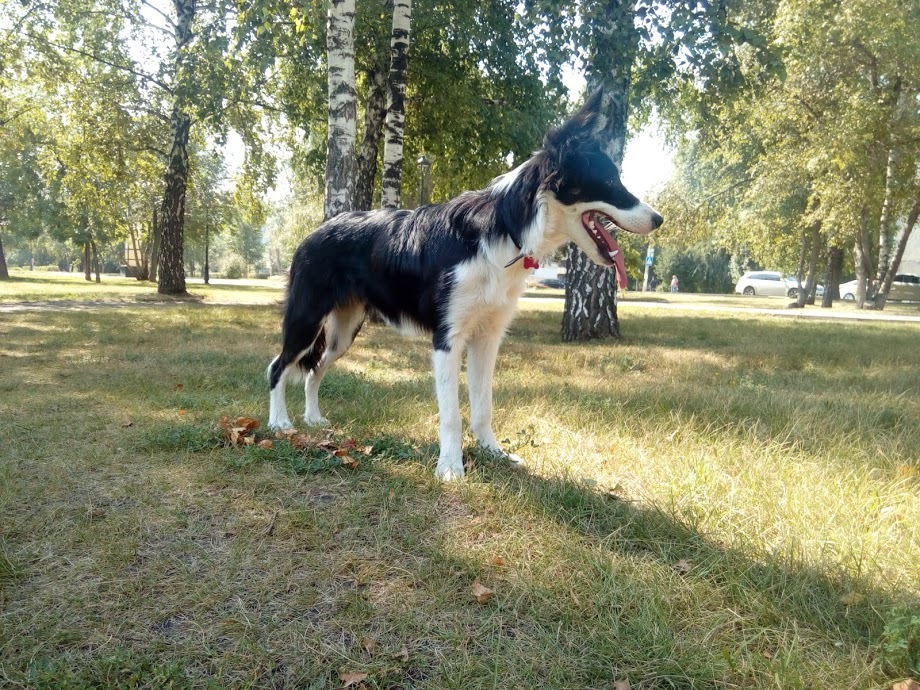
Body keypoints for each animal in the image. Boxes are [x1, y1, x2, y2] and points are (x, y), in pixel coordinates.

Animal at [266, 90, 660, 478]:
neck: (506, 228)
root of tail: (314, 232)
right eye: (610, 183)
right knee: (278, 366)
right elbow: (451, 416)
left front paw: (494, 453)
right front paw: (451, 468)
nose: (658, 219)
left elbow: (483, 407)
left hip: (343, 333)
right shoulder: (447, 339)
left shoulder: (487, 339)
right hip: (306, 319)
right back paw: (279, 424)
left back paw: (313, 419)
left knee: (313, 370)